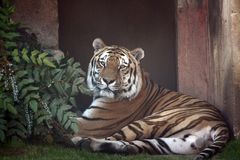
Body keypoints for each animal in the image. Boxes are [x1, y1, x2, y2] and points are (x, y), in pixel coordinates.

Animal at [70, 38, 230, 159]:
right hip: (174, 143)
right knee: (132, 147)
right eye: (102, 63)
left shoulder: (92, 123)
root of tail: (221, 123)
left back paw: (79, 141)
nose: (108, 81)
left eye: (121, 67)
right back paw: (86, 143)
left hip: (149, 121)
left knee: (115, 139)